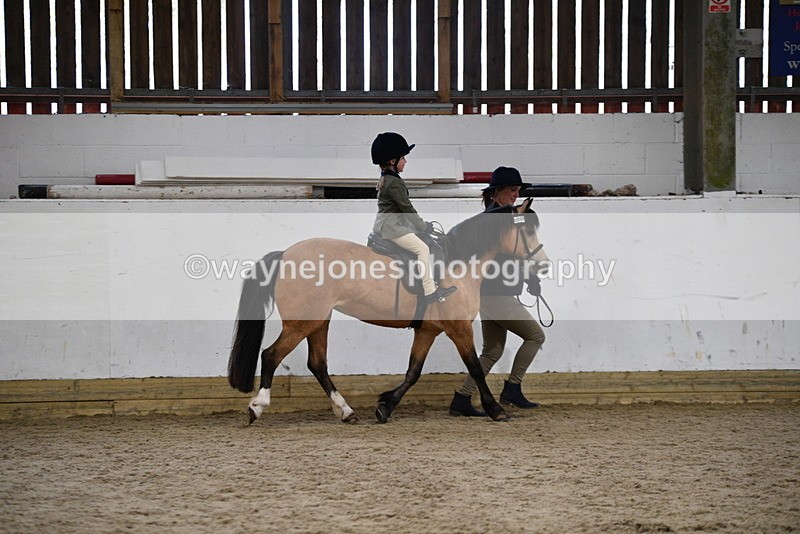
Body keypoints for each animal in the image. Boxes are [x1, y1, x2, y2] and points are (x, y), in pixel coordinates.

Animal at [227, 198, 549, 424]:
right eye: (527, 229)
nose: (543, 266)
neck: (458, 265)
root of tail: (284, 254)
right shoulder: (459, 329)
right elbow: (476, 368)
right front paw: (496, 410)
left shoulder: (427, 331)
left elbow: (413, 372)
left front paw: (386, 406)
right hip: (301, 323)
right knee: (271, 355)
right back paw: (257, 407)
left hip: (318, 321)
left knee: (317, 364)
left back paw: (346, 412)